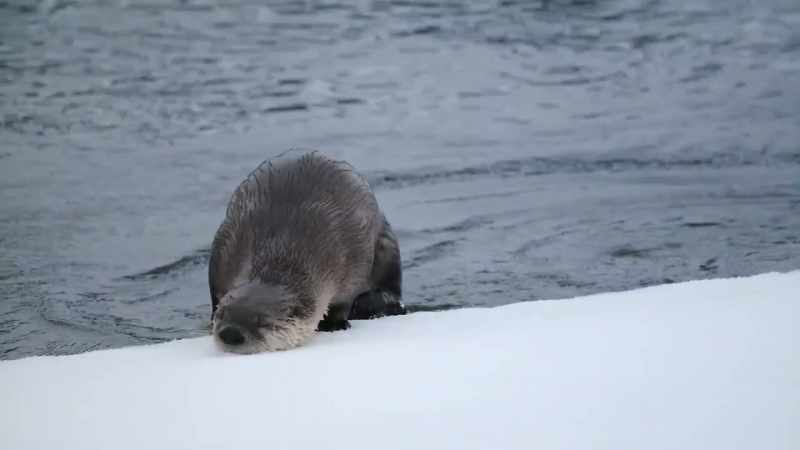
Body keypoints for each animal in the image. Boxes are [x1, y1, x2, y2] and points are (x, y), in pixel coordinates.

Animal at [209, 150, 404, 353]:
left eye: (262, 322)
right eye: (222, 314)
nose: (230, 332)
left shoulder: (353, 257)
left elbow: (343, 302)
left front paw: (334, 325)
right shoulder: (226, 245)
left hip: (387, 243)